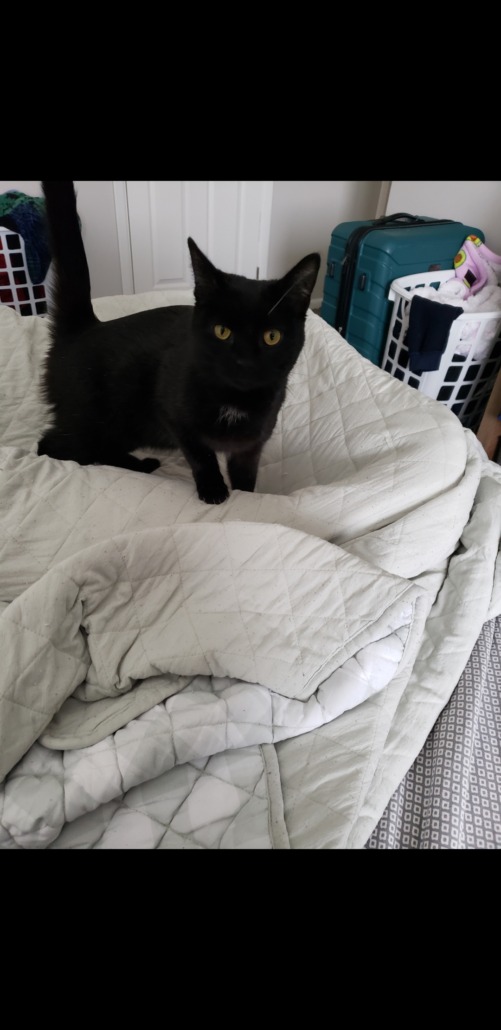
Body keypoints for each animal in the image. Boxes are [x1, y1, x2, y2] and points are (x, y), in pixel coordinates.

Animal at [37, 181, 320, 504]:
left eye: (272, 336)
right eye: (222, 331)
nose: (243, 360)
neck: (235, 402)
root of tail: (84, 327)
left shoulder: (253, 442)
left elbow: (246, 474)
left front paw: (247, 496)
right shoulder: (173, 417)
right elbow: (201, 454)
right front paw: (214, 490)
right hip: (97, 419)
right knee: (54, 446)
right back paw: (138, 466)